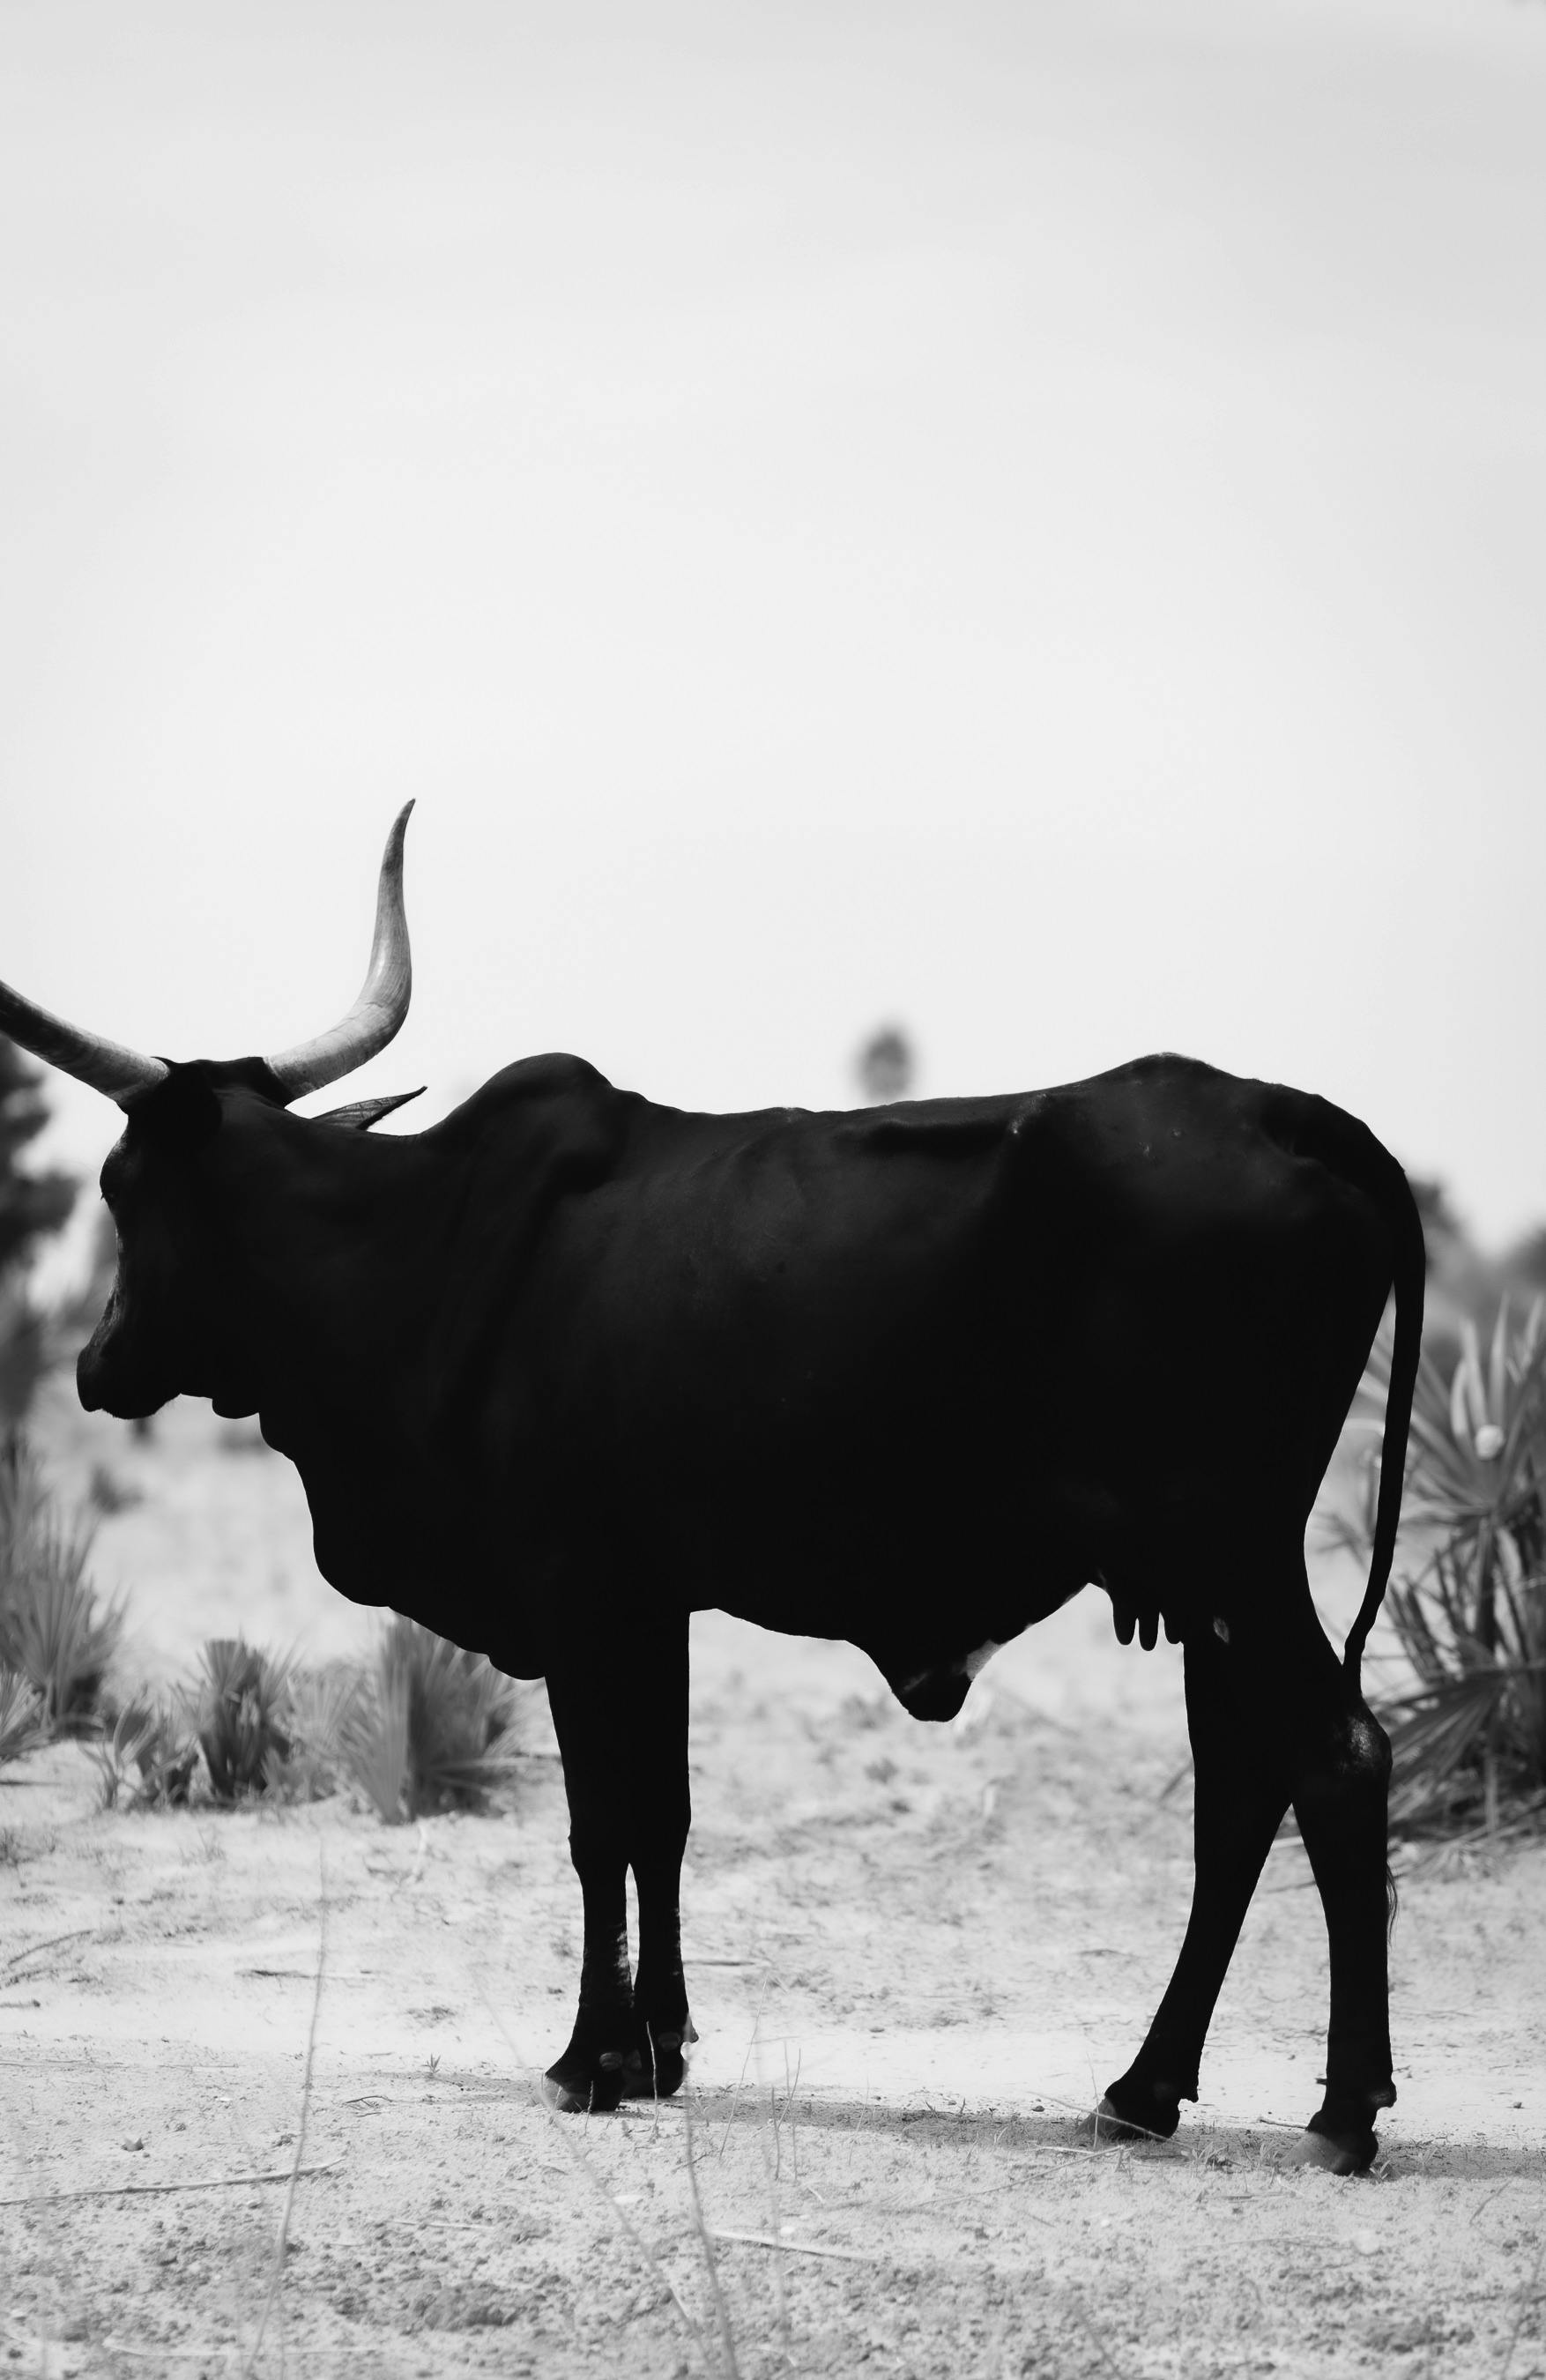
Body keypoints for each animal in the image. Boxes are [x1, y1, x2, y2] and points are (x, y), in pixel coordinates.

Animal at [0, 804, 1423, 2175]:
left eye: (123, 1184)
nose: (95, 1363)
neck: (415, 1250)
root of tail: (1286, 1112)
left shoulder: (577, 1601)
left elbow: (598, 1825)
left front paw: (587, 2060)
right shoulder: (650, 1606)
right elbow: (663, 1820)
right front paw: (656, 2050)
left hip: (1230, 1556)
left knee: (1335, 1760)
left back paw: (1339, 2111)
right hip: (1205, 1586)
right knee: (1241, 1794)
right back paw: (1143, 2091)